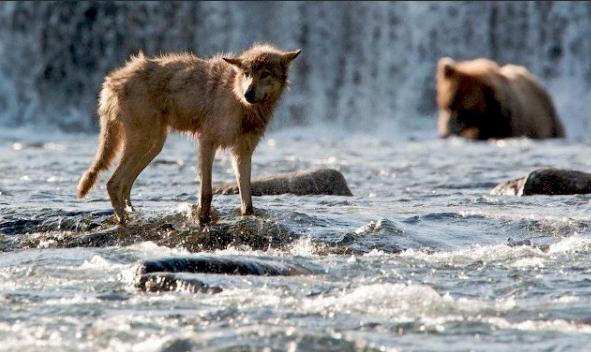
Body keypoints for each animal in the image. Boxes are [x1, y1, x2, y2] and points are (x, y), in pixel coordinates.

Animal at [76, 44, 300, 224]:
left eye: (265, 74)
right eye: (246, 73)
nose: (249, 94)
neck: (239, 101)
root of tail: (112, 79)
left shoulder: (242, 153)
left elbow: (247, 200)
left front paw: (247, 218)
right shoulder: (207, 143)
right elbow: (206, 193)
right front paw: (203, 220)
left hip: (153, 146)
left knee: (124, 185)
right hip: (144, 142)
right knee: (113, 184)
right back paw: (124, 222)